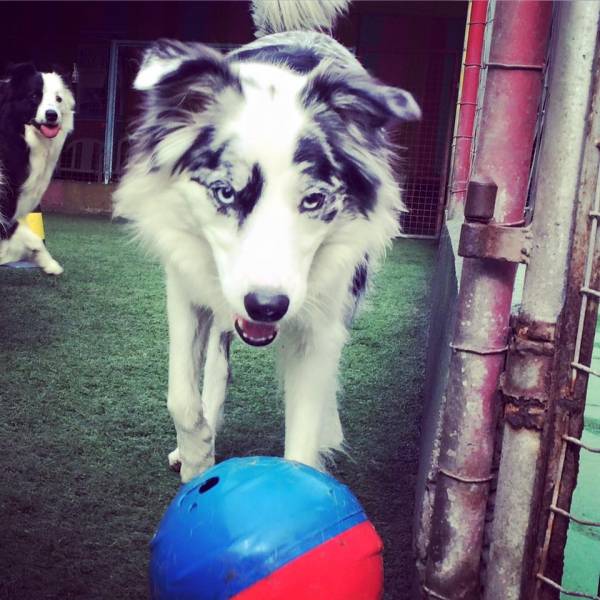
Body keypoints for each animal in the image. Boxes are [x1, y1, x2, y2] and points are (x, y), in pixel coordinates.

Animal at [113, 0, 422, 478]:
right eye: (225, 192)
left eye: (314, 200)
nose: (267, 306)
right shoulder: (185, 287)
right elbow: (182, 397)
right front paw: (197, 460)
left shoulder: (320, 320)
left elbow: (303, 436)